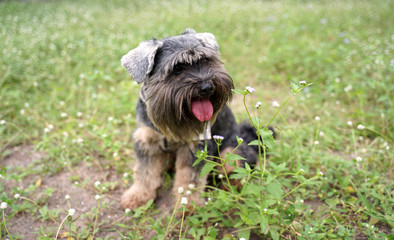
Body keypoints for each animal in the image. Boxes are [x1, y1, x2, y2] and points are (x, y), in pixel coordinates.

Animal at [120, 27, 262, 208]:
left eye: (206, 60)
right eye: (177, 68)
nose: (207, 87)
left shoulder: (196, 146)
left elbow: (189, 178)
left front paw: (188, 204)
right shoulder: (147, 142)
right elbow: (145, 172)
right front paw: (138, 196)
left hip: (229, 153)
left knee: (240, 170)